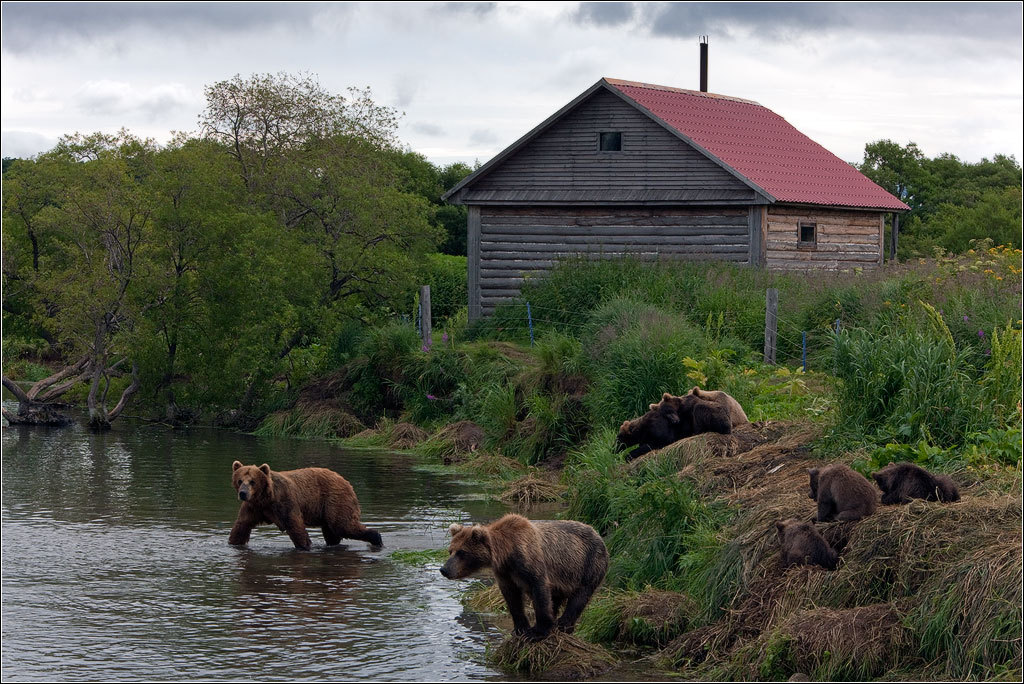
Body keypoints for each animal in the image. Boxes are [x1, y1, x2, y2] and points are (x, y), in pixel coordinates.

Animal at [227, 458, 380, 548]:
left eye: (252, 481)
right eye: (240, 480)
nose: (243, 493)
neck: (265, 498)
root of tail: (345, 480)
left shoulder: (285, 503)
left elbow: (295, 527)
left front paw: (305, 545)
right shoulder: (254, 507)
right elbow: (241, 527)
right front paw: (233, 543)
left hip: (335, 500)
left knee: (343, 526)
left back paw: (376, 538)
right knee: (332, 533)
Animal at [442, 511, 606, 643]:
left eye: (462, 552)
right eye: (451, 550)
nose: (444, 569)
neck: (507, 553)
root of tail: (597, 533)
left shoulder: (530, 562)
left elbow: (540, 591)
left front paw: (537, 632)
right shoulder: (505, 573)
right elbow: (512, 599)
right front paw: (520, 629)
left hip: (588, 565)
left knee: (580, 597)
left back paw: (563, 625)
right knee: (557, 598)